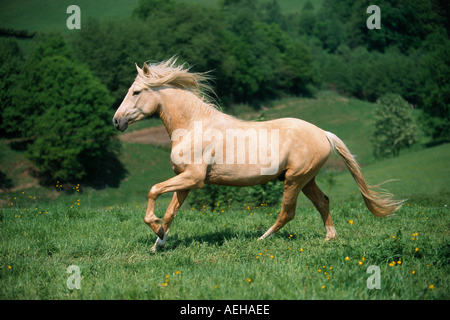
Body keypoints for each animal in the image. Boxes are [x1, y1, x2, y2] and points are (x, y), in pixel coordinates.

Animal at [113, 57, 404, 252]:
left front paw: (155, 228)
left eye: (136, 91)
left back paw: (262, 238)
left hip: (295, 179)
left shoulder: (193, 179)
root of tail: (323, 132)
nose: (117, 121)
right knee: (323, 202)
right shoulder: (185, 181)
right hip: (306, 179)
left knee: (288, 212)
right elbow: (171, 213)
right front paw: (159, 242)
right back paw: (329, 238)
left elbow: (153, 191)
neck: (194, 125)